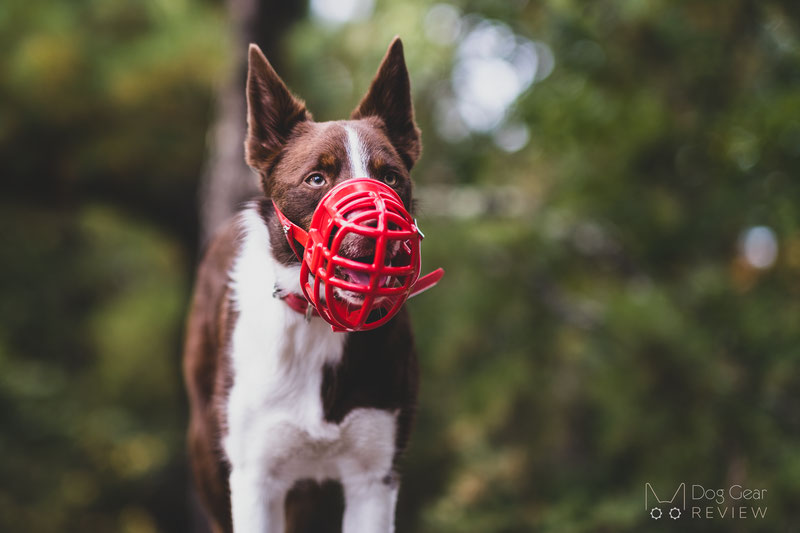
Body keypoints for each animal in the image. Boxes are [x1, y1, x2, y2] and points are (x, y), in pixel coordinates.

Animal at [184, 37, 424, 532]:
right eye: (317, 178)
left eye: (390, 176)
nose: (381, 230)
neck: (320, 325)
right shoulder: (255, 477)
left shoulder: (375, 475)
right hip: (207, 451)